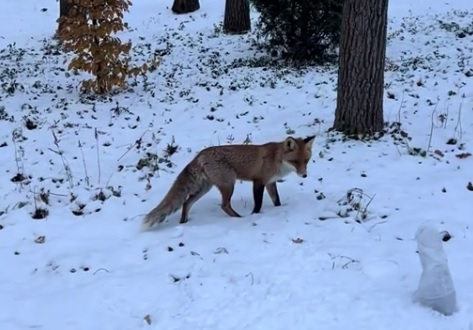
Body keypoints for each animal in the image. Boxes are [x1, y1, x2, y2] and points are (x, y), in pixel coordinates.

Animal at [140, 135, 314, 231]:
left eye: (306, 161)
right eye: (295, 161)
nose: (305, 175)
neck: (276, 159)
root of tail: (200, 155)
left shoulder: (270, 183)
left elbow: (276, 201)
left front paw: (279, 209)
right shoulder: (258, 182)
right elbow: (258, 205)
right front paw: (255, 216)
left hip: (205, 189)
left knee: (186, 203)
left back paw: (183, 223)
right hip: (228, 184)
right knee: (224, 205)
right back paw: (239, 219)